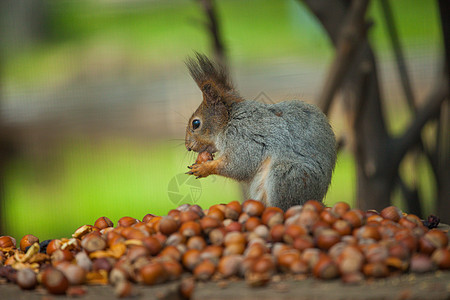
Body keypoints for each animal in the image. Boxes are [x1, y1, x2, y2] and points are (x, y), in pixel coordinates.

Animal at [185, 52, 336, 210]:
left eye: (196, 123)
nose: (188, 146)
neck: (229, 121)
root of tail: (316, 198)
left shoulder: (244, 137)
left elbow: (239, 165)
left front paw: (203, 168)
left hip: (287, 176)